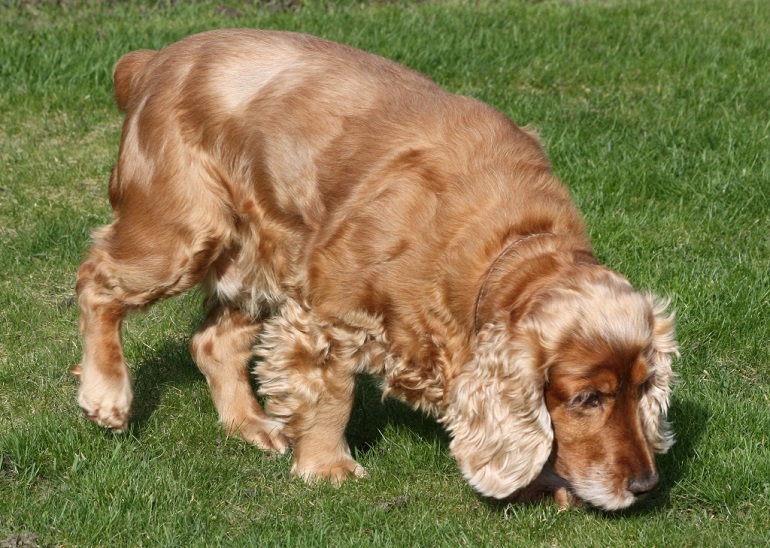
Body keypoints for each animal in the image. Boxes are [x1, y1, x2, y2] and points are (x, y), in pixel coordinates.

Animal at [70, 28, 672, 510]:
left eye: (644, 387)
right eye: (587, 398)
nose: (645, 486)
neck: (509, 244)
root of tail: (152, 60)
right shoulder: (328, 315)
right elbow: (329, 397)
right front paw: (328, 468)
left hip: (258, 253)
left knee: (213, 341)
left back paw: (253, 424)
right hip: (182, 232)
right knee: (96, 280)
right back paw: (107, 395)